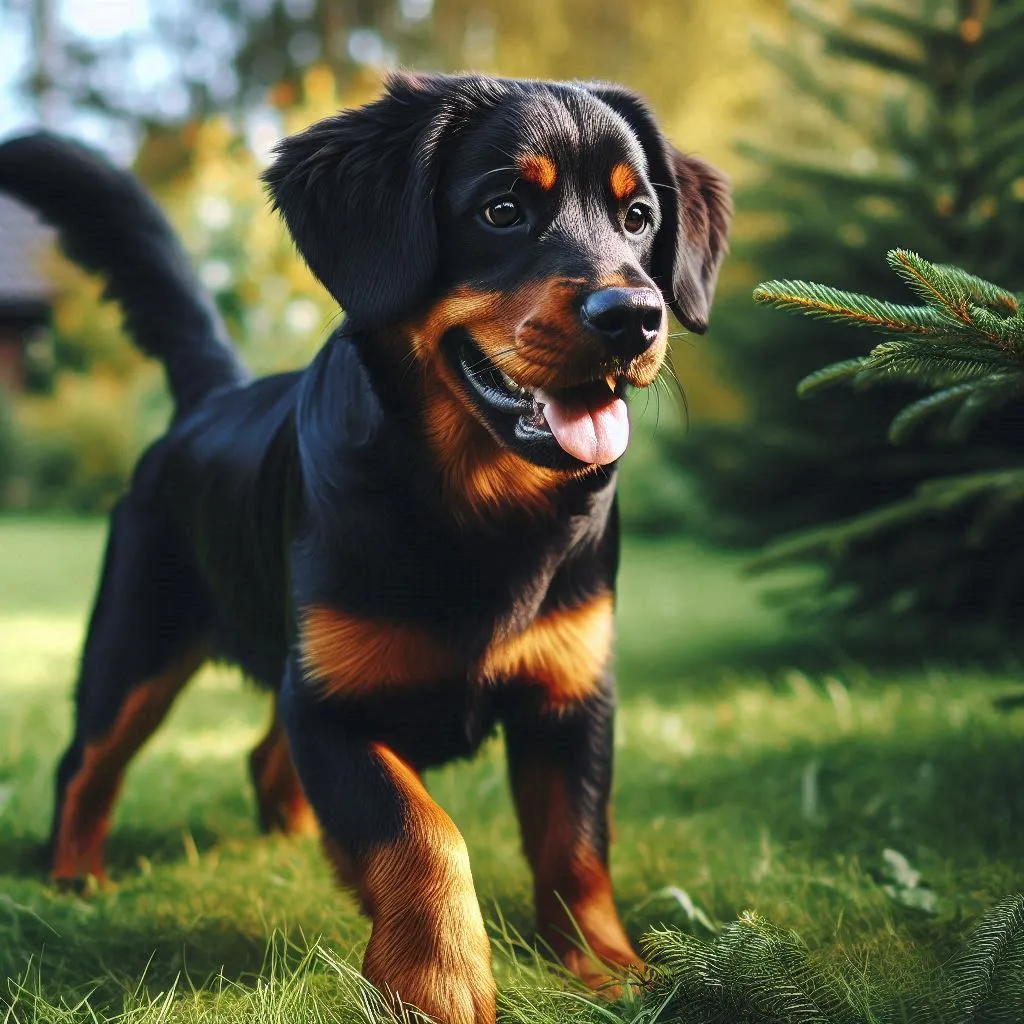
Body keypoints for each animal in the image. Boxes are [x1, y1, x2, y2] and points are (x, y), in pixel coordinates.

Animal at [4, 72, 733, 1024]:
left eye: (640, 218)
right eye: (502, 210)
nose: (635, 318)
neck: (475, 508)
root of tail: (213, 399)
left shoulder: (572, 697)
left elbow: (575, 844)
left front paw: (606, 967)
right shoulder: (330, 703)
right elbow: (420, 832)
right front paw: (442, 982)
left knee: (261, 759)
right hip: (135, 641)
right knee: (85, 765)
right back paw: (74, 881)